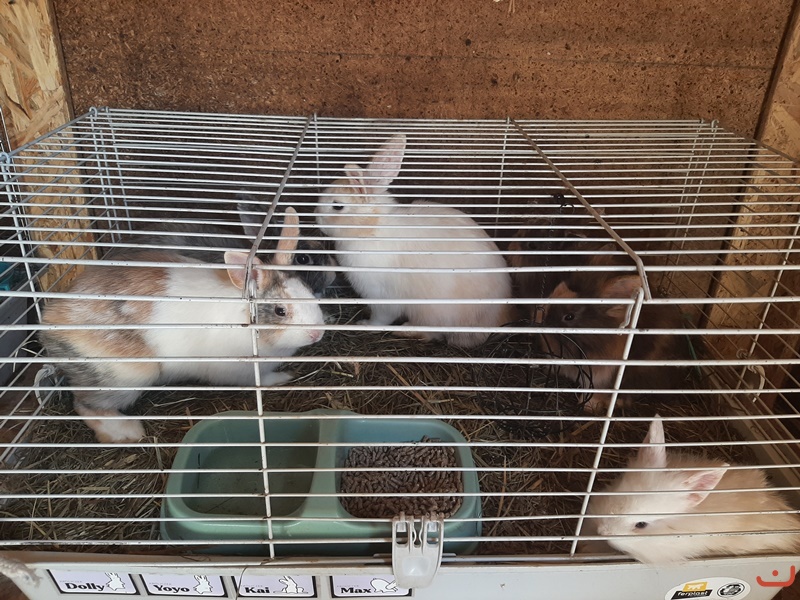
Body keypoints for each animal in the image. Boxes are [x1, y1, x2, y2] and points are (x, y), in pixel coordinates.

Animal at [40, 208, 325, 444]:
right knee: (86, 405)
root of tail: (50, 321)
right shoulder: (240, 373)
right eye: (280, 310)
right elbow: (263, 380)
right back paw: (127, 432)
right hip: (127, 375)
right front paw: (284, 378)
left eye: (309, 292)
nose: (317, 334)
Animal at [315, 133, 514, 348]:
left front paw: (365, 324)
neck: (371, 228)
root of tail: (500, 320)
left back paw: (405, 330)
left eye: (337, 206)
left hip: (434, 312)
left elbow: (380, 318)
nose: (316, 217)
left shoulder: (382, 297)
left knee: (431, 332)